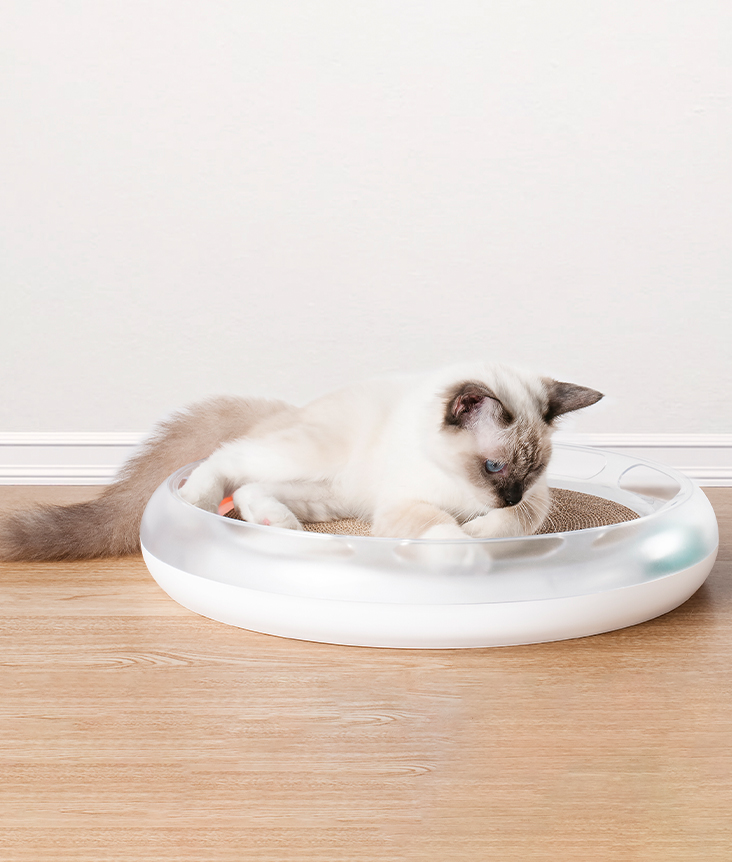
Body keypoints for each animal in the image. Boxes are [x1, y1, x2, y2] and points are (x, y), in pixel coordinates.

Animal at [0, 362, 602, 561]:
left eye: (531, 472)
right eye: (495, 468)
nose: (508, 493)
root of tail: (288, 409)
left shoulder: (536, 504)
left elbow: (515, 523)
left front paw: (487, 530)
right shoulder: (405, 507)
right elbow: (445, 532)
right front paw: (468, 547)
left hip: (328, 494)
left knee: (249, 490)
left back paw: (277, 526)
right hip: (306, 455)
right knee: (225, 461)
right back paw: (197, 498)